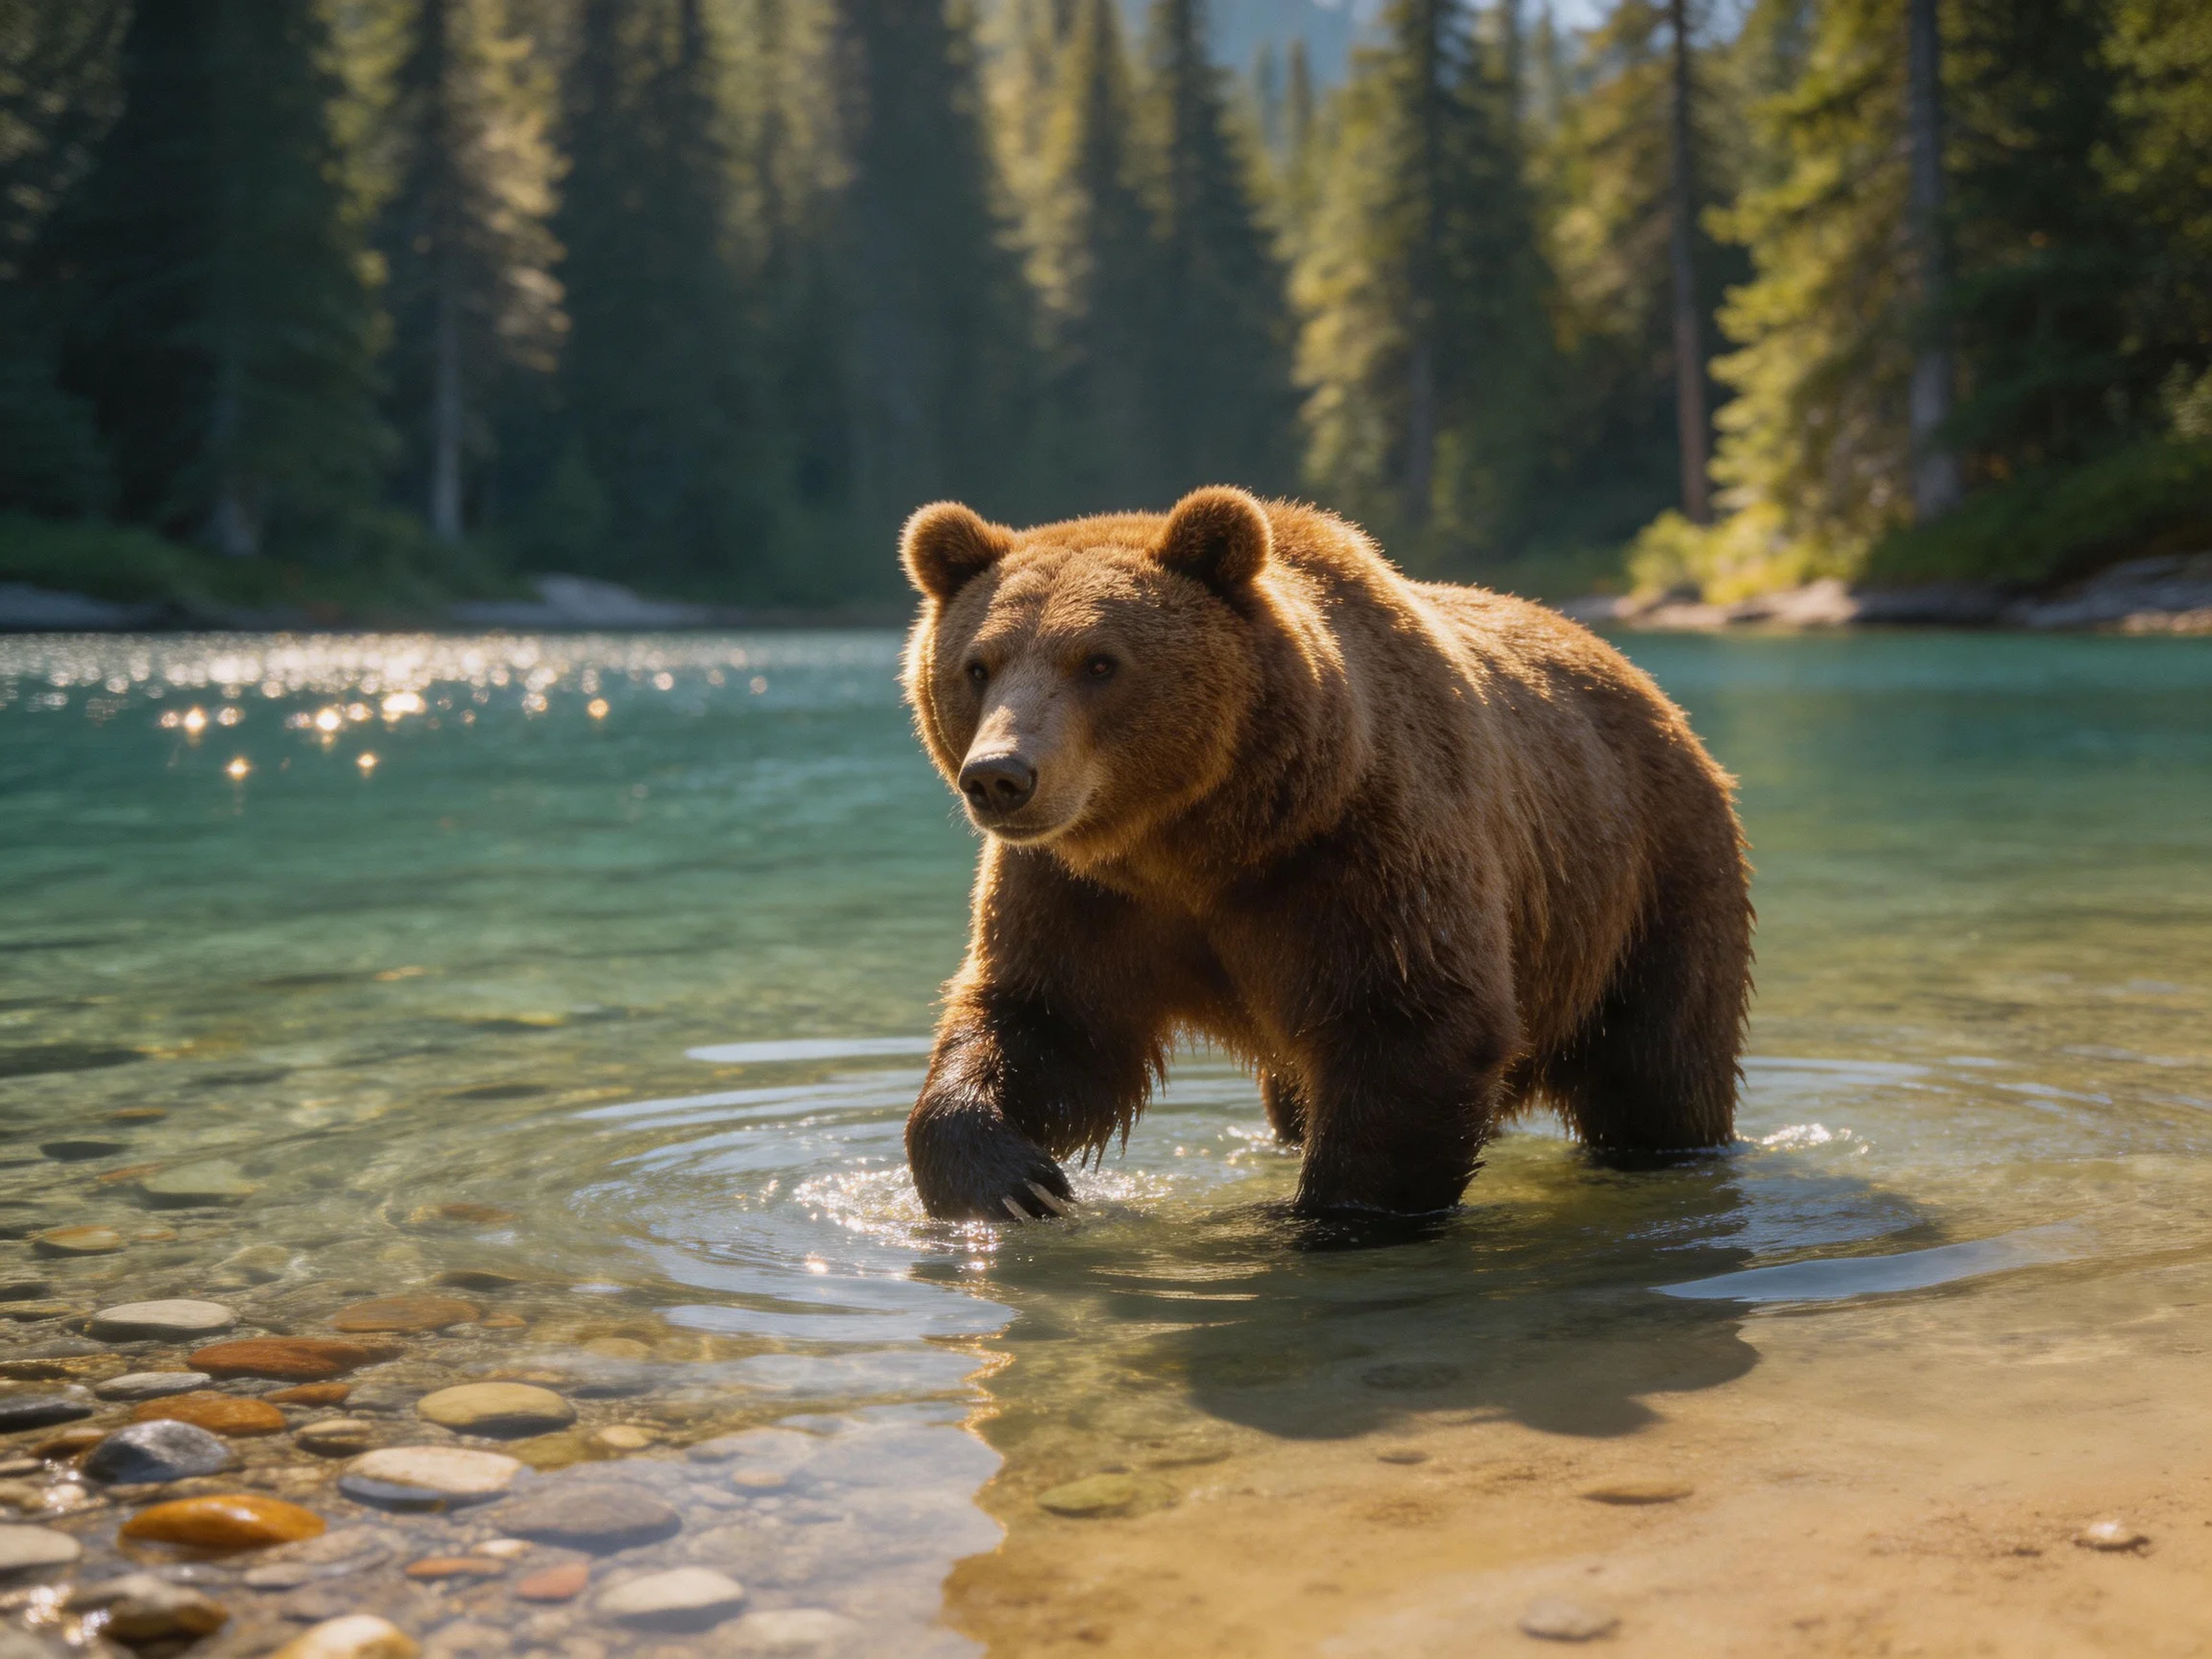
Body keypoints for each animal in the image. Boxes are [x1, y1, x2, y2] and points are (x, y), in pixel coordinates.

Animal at [898, 485, 1752, 1223]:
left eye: (1100, 661)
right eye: (978, 665)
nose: (1000, 776)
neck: (1196, 837)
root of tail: (1647, 686)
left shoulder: (1356, 848)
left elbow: (1413, 1020)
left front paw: (1330, 1216)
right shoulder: (1082, 890)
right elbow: (1047, 1024)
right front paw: (1014, 1181)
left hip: (1651, 879)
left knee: (1658, 1069)